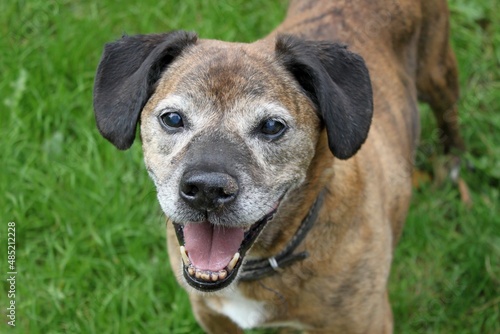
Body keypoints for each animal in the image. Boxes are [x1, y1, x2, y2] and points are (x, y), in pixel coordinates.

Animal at [93, 0, 464, 332]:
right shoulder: (213, 318)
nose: (206, 190)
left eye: (272, 126)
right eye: (172, 119)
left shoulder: (367, 323)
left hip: (437, 72)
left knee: (449, 116)